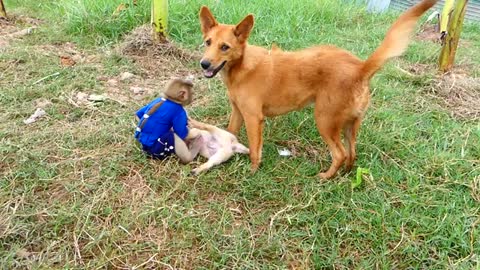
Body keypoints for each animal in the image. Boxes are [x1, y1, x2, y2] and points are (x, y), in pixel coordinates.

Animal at [199, 0, 438, 179]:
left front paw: (252, 171)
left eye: (225, 47)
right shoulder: (238, 112)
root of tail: (360, 67)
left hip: (324, 121)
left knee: (340, 154)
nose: (204, 64)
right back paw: (344, 175)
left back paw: (325, 177)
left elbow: (255, 151)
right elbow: (229, 133)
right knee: (351, 153)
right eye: (207, 42)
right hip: (350, 125)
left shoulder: (253, 118)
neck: (241, 66)